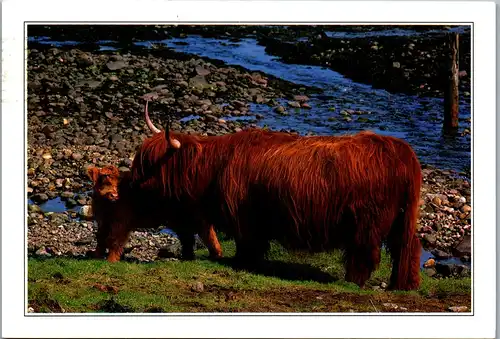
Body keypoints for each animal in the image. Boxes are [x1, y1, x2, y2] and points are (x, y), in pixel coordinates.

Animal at [87, 165, 223, 262]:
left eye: (117, 181)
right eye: (104, 179)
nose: (114, 195)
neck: (106, 204)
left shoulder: (120, 222)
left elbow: (114, 239)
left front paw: (111, 260)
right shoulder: (103, 221)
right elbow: (100, 237)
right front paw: (96, 255)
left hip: (194, 216)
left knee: (207, 232)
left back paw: (216, 254)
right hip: (179, 219)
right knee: (187, 236)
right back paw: (188, 257)